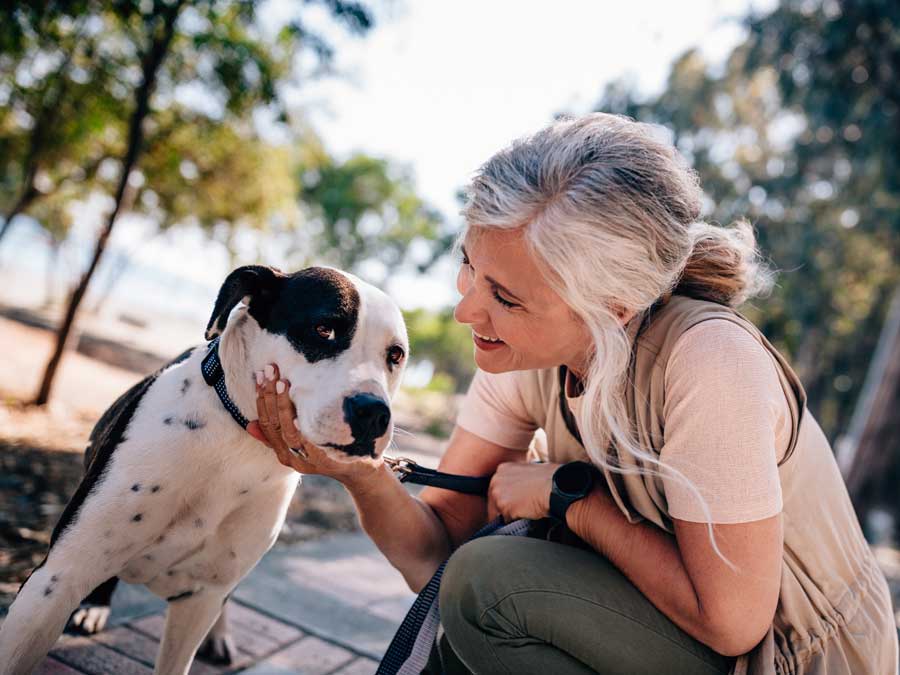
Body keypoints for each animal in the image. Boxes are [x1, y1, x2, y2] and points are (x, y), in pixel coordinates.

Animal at [0, 266, 408, 675]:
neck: (239, 441)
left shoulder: (203, 596)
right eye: (323, 329)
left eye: (396, 355)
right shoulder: (57, 579)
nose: (373, 413)